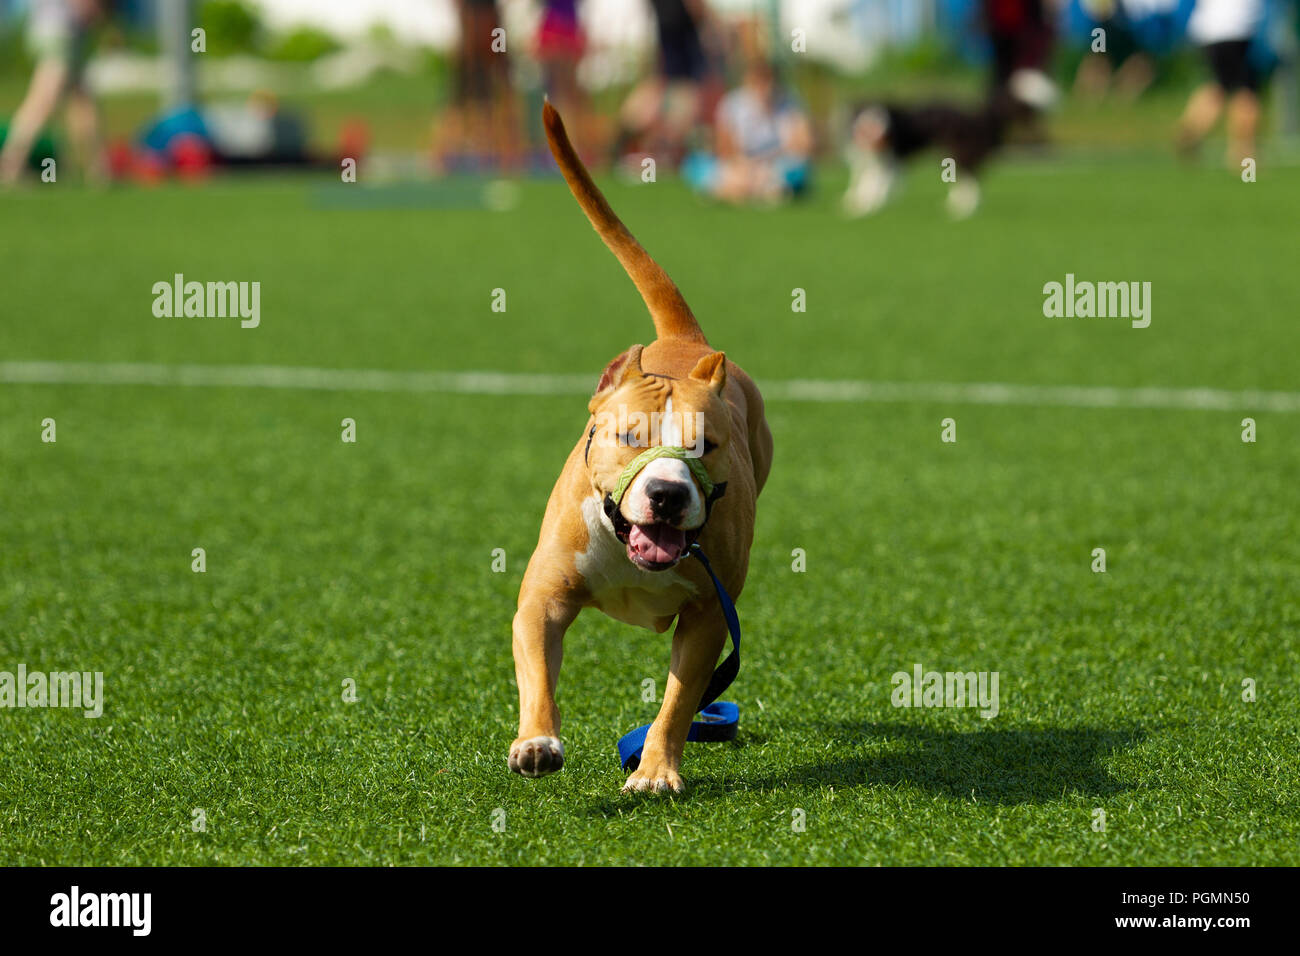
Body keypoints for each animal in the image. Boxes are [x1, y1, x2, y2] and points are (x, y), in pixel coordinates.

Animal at [506, 102, 769, 790]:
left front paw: (654, 770)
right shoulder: (543, 595)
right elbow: (537, 671)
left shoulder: (708, 617)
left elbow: (677, 701)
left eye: (706, 445)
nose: (668, 495)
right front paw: (537, 739)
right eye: (628, 438)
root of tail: (684, 340)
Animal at [842, 68, 1055, 218]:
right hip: (952, 156)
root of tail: (978, 116)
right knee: (967, 180)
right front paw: (856, 204)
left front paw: (868, 206)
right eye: (865, 115)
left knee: (972, 179)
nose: (878, 134)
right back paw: (955, 206)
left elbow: (874, 185)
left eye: (881, 116)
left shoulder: (890, 160)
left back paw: (963, 210)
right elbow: (862, 183)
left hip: (958, 152)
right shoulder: (871, 162)